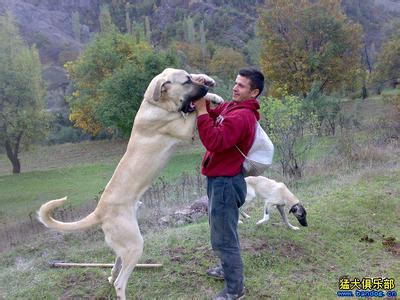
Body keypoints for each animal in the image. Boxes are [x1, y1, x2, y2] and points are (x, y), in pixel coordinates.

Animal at [37, 68, 222, 300]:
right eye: (185, 82)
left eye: (189, 77)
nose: (206, 87)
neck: (155, 104)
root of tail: (99, 211)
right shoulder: (184, 129)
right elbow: (196, 111)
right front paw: (207, 97)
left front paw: (211, 88)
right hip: (134, 245)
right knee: (120, 282)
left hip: (123, 246)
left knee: (114, 271)